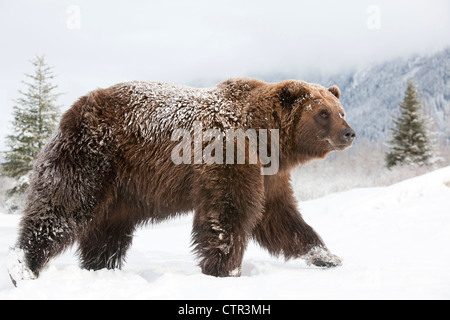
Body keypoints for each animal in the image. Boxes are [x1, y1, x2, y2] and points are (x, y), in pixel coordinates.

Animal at [7, 77, 356, 284]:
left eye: (340, 110)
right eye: (322, 113)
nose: (349, 133)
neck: (265, 139)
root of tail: (72, 110)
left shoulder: (269, 175)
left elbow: (280, 218)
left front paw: (327, 256)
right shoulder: (227, 152)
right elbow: (228, 213)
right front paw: (224, 269)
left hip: (121, 190)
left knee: (108, 233)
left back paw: (101, 267)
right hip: (93, 156)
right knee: (62, 207)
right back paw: (22, 266)